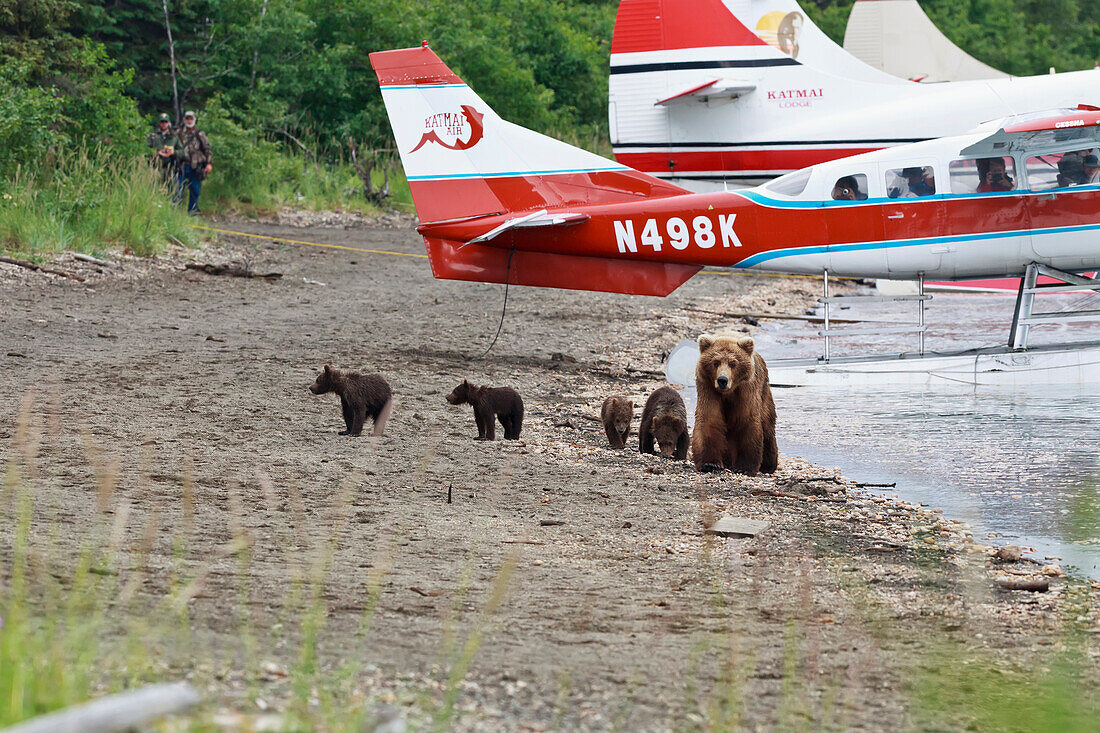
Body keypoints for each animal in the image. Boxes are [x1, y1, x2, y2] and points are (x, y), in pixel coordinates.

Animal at [690, 330, 778, 473]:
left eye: (733, 363)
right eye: (716, 362)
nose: (722, 380)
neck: (728, 392)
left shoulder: (746, 390)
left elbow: (746, 420)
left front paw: (744, 467)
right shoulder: (708, 388)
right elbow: (709, 419)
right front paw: (710, 463)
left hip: (764, 394)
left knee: (767, 427)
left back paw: (769, 464)